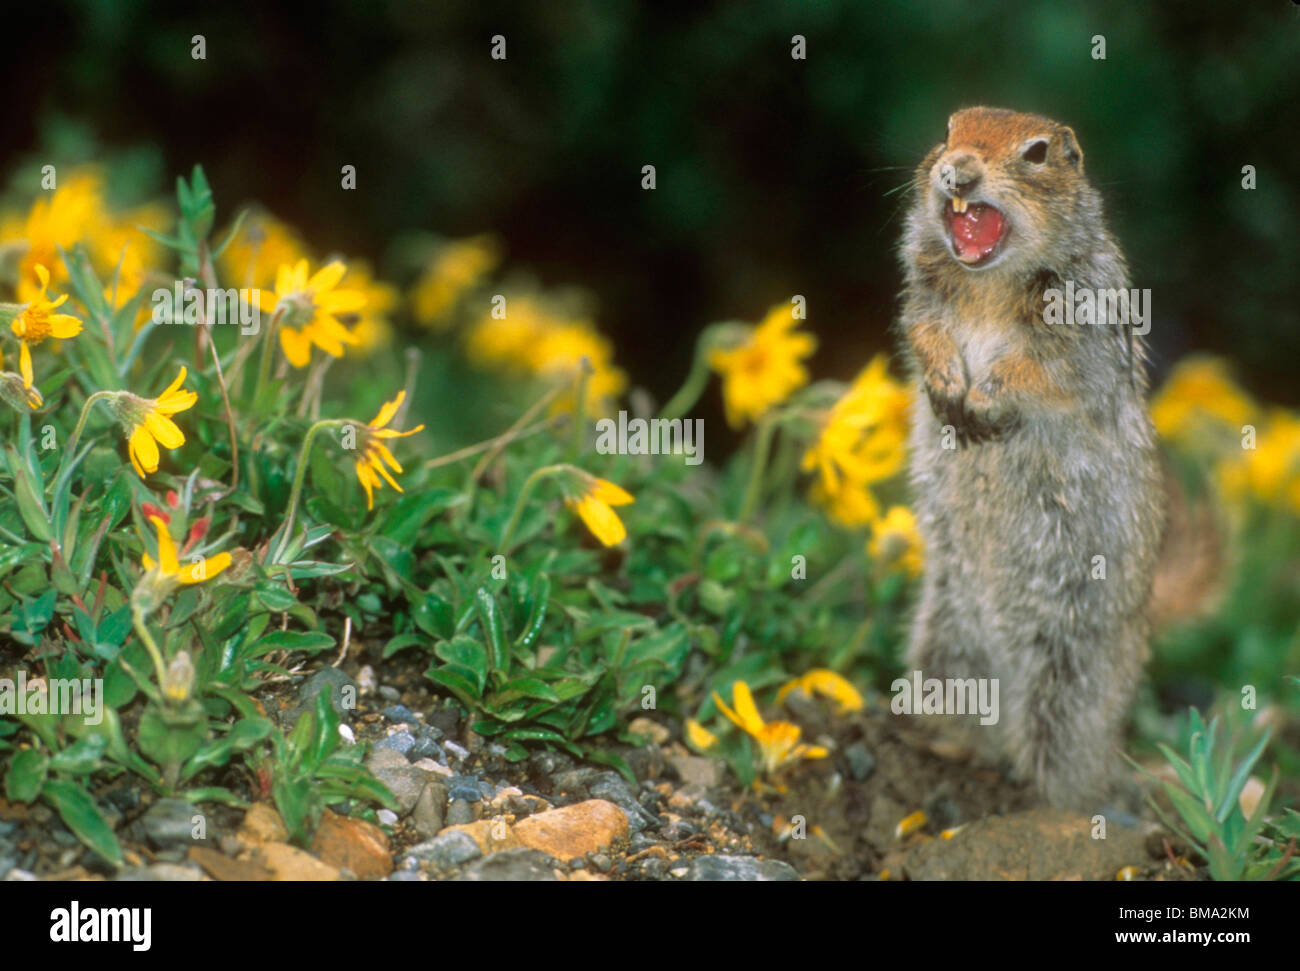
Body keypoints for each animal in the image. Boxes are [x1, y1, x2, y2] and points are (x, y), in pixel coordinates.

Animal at [899, 106, 1164, 811]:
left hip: (1073, 677)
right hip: (945, 645)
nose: (957, 170)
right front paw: (947, 387)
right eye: (948, 129)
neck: (987, 282)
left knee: (1063, 756)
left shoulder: (1079, 320)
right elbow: (923, 331)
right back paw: (945, 744)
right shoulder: (924, 293)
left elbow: (1043, 372)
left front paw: (984, 399)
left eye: (1038, 152)